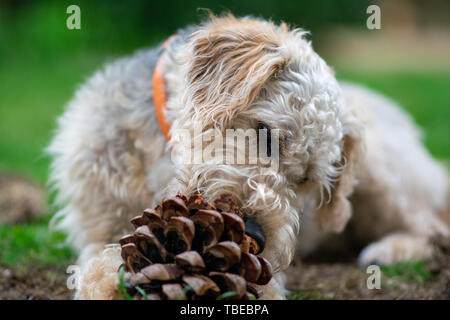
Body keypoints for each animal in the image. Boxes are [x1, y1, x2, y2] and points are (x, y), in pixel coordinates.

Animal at [47, 14, 448, 300]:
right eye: (265, 132)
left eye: (306, 180)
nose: (254, 235)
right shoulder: (97, 222)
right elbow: (98, 259)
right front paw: (114, 281)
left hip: (384, 175)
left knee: (432, 227)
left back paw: (388, 250)